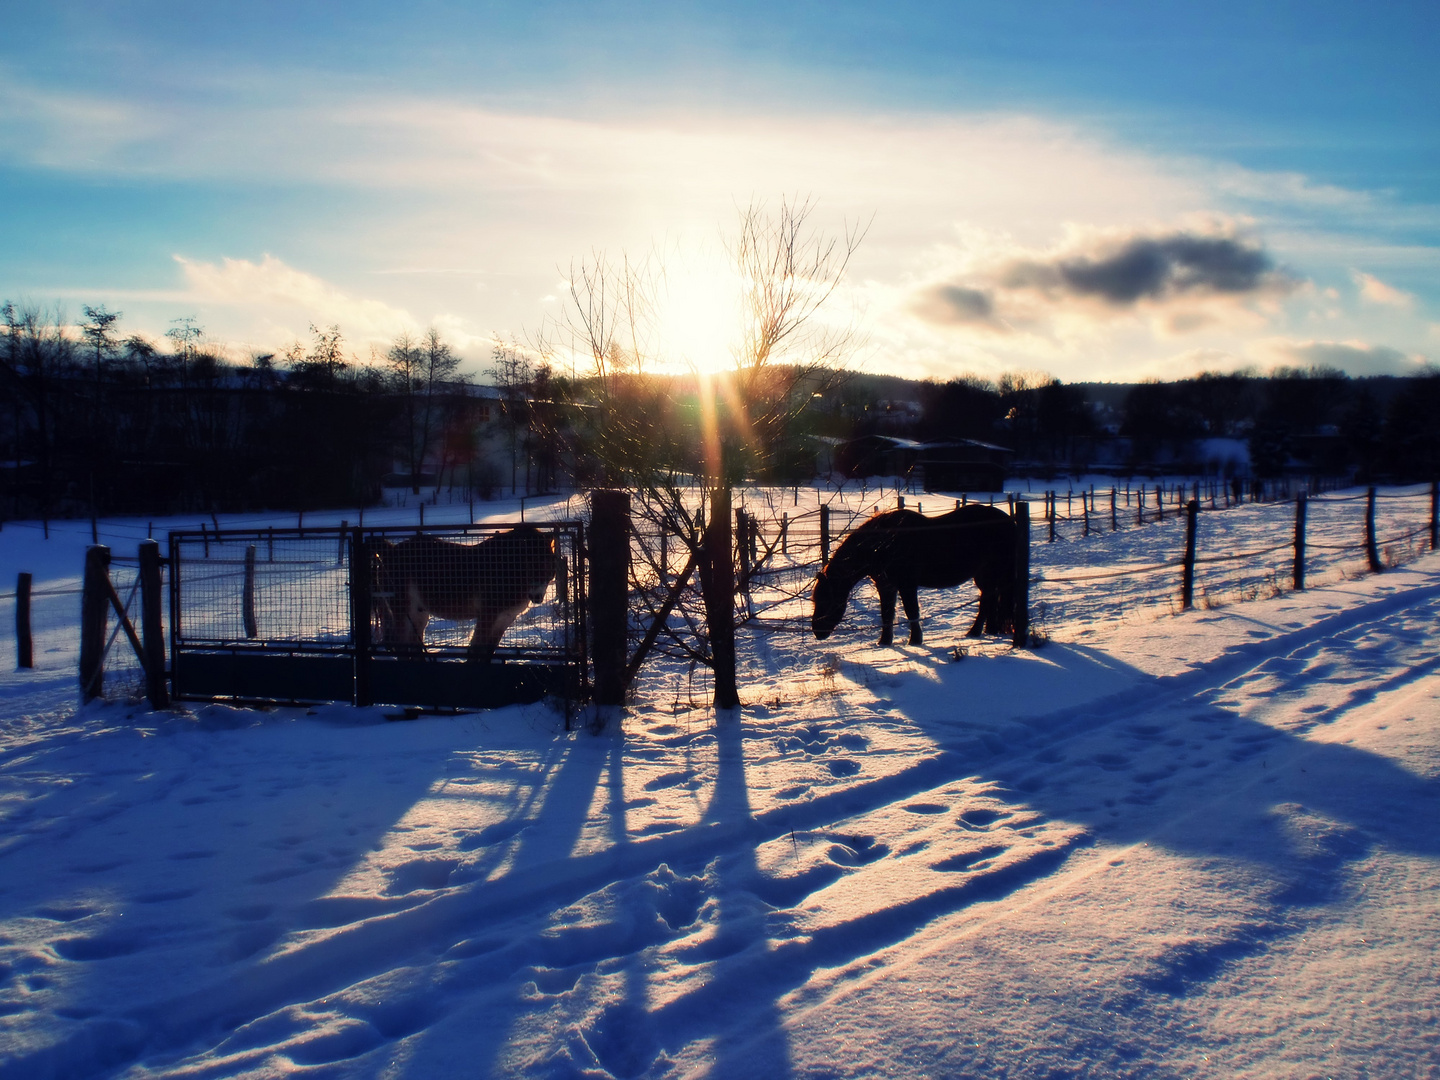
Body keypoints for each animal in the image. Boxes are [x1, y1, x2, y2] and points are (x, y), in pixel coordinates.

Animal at [368, 529, 552, 665]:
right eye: (530, 564)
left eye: (549, 566)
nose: (537, 597)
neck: (505, 568)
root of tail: (390, 551)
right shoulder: (488, 615)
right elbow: (476, 649)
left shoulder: (505, 618)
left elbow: (488, 651)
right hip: (402, 610)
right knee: (401, 643)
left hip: (419, 613)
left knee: (413, 644)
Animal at [812, 506, 1013, 648]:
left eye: (827, 600)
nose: (817, 632)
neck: (885, 543)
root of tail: (1009, 521)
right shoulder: (886, 586)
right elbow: (887, 613)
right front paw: (884, 642)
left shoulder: (907, 584)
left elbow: (911, 612)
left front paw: (915, 641)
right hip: (985, 576)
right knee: (990, 600)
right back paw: (989, 630)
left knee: (987, 602)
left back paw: (974, 632)